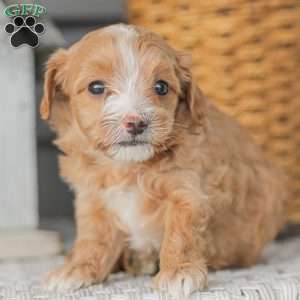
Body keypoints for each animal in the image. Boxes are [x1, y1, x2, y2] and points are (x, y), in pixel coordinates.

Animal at [41, 24, 288, 298]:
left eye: (161, 87)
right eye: (96, 87)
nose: (136, 123)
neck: (127, 166)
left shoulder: (186, 189)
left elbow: (180, 231)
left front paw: (179, 272)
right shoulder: (93, 197)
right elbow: (92, 237)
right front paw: (77, 268)